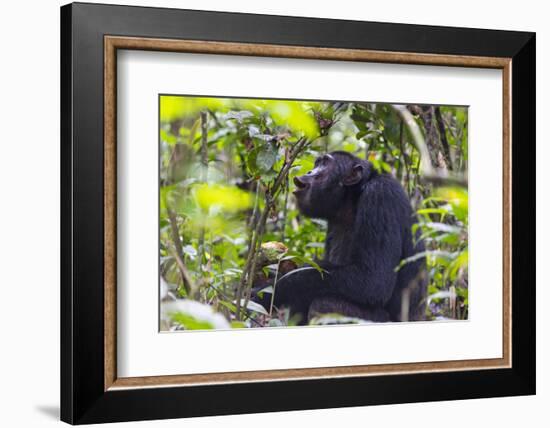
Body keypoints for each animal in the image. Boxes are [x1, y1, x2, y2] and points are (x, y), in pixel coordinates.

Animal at [253, 152, 426, 322]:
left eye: (325, 164)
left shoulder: (380, 197)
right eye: (317, 163)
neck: (351, 200)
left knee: (325, 303)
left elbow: (374, 279)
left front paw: (270, 291)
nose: (309, 171)